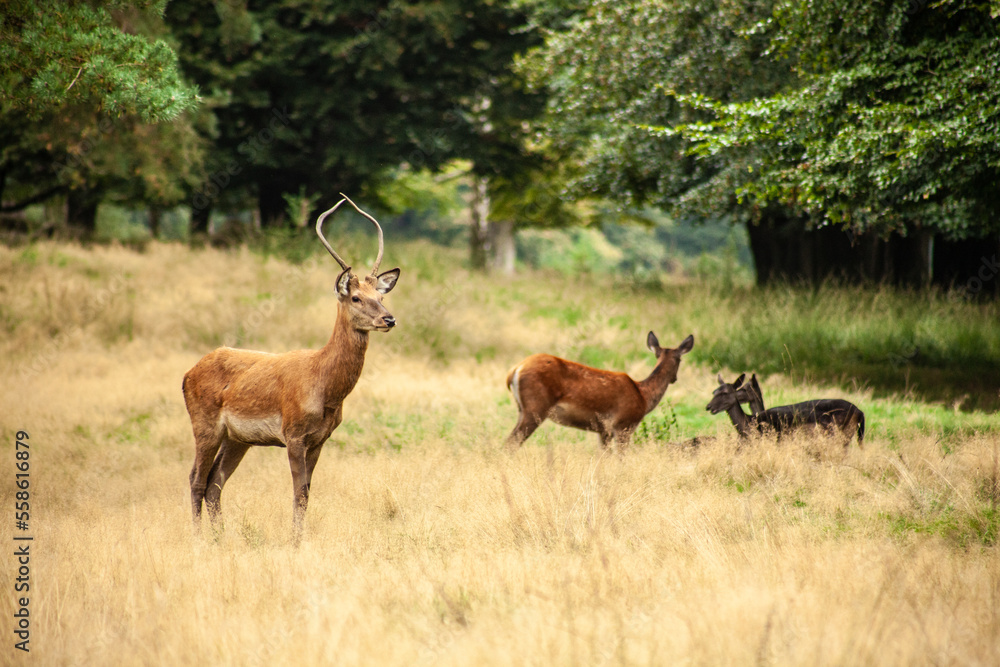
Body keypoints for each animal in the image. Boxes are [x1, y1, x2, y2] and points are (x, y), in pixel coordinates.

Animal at [182, 194, 400, 544]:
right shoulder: (293, 434)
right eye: (355, 297)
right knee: (196, 479)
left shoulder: (321, 438)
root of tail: (188, 374)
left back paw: (220, 539)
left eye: (379, 295)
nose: (389, 319)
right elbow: (298, 492)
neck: (325, 389)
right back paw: (199, 541)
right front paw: (296, 543)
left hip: (237, 438)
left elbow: (307, 493)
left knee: (215, 482)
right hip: (204, 424)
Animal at [504, 332, 694, 451]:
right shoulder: (624, 424)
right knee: (511, 443)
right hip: (536, 407)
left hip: (522, 409)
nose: (674, 379)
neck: (643, 396)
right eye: (680, 359)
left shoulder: (604, 431)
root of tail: (515, 370)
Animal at [706, 374, 865, 448]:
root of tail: (861, 413)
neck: (750, 422)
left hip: (841, 435)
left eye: (725, 393)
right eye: (714, 391)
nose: (708, 407)